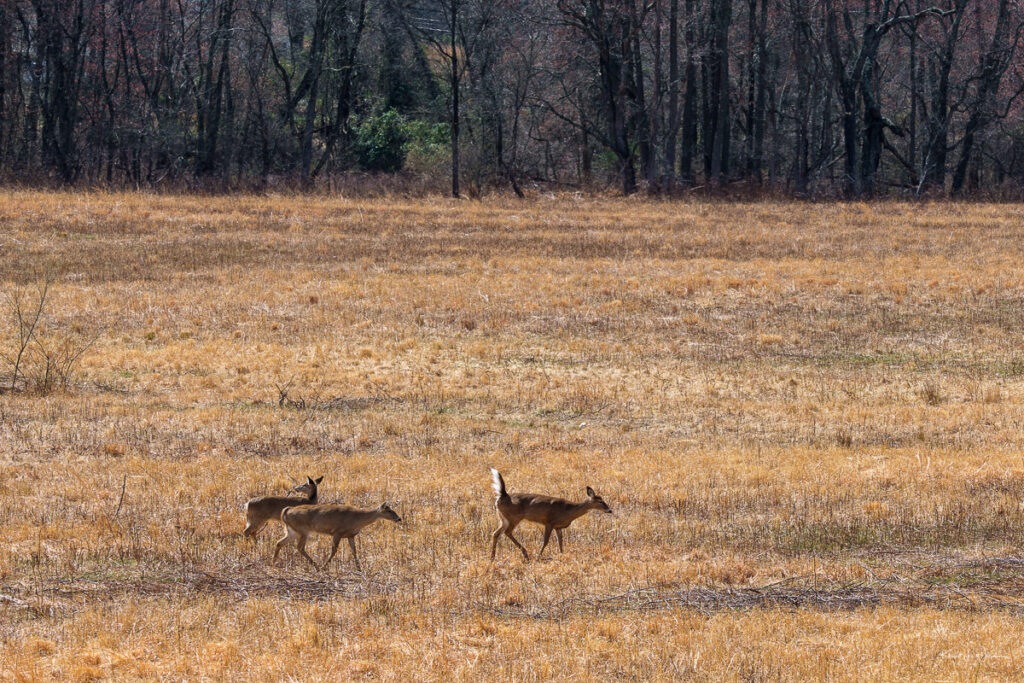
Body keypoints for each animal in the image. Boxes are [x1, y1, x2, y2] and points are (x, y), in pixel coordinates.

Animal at [273, 502, 402, 571]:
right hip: (303, 530)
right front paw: (325, 566)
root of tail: (286, 510)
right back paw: (317, 566)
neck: (358, 519)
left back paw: (274, 562)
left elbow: (354, 550)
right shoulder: (337, 532)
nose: (399, 518)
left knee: (279, 542)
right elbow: (334, 550)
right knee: (299, 547)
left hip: (292, 531)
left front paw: (359, 568)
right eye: (389, 510)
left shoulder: (350, 535)